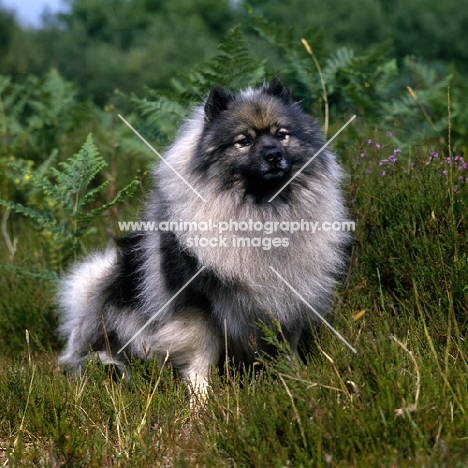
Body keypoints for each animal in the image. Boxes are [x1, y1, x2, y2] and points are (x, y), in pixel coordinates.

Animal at [57, 77, 352, 402]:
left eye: (281, 135)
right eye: (244, 141)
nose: (273, 154)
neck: (262, 212)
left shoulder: (289, 296)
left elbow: (288, 345)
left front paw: (299, 379)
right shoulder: (196, 305)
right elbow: (201, 356)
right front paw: (200, 400)